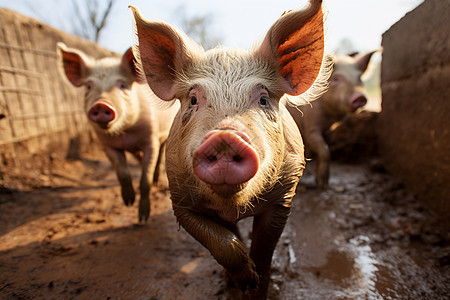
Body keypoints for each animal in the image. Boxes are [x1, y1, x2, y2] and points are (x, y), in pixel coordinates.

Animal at [130, 0, 330, 298]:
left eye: (263, 99)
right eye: (193, 99)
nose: (225, 137)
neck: (234, 205)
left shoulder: (284, 196)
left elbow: (263, 249)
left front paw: (256, 284)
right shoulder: (180, 202)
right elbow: (222, 243)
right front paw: (244, 281)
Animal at [284, 51, 376, 188]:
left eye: (359, 78)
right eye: (336, 78)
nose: (359, 97)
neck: (330, 115)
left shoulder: (331, 129)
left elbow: (327, 146)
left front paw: (324, 183)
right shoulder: (311, 126)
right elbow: (324, 149)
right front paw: (322, 184)